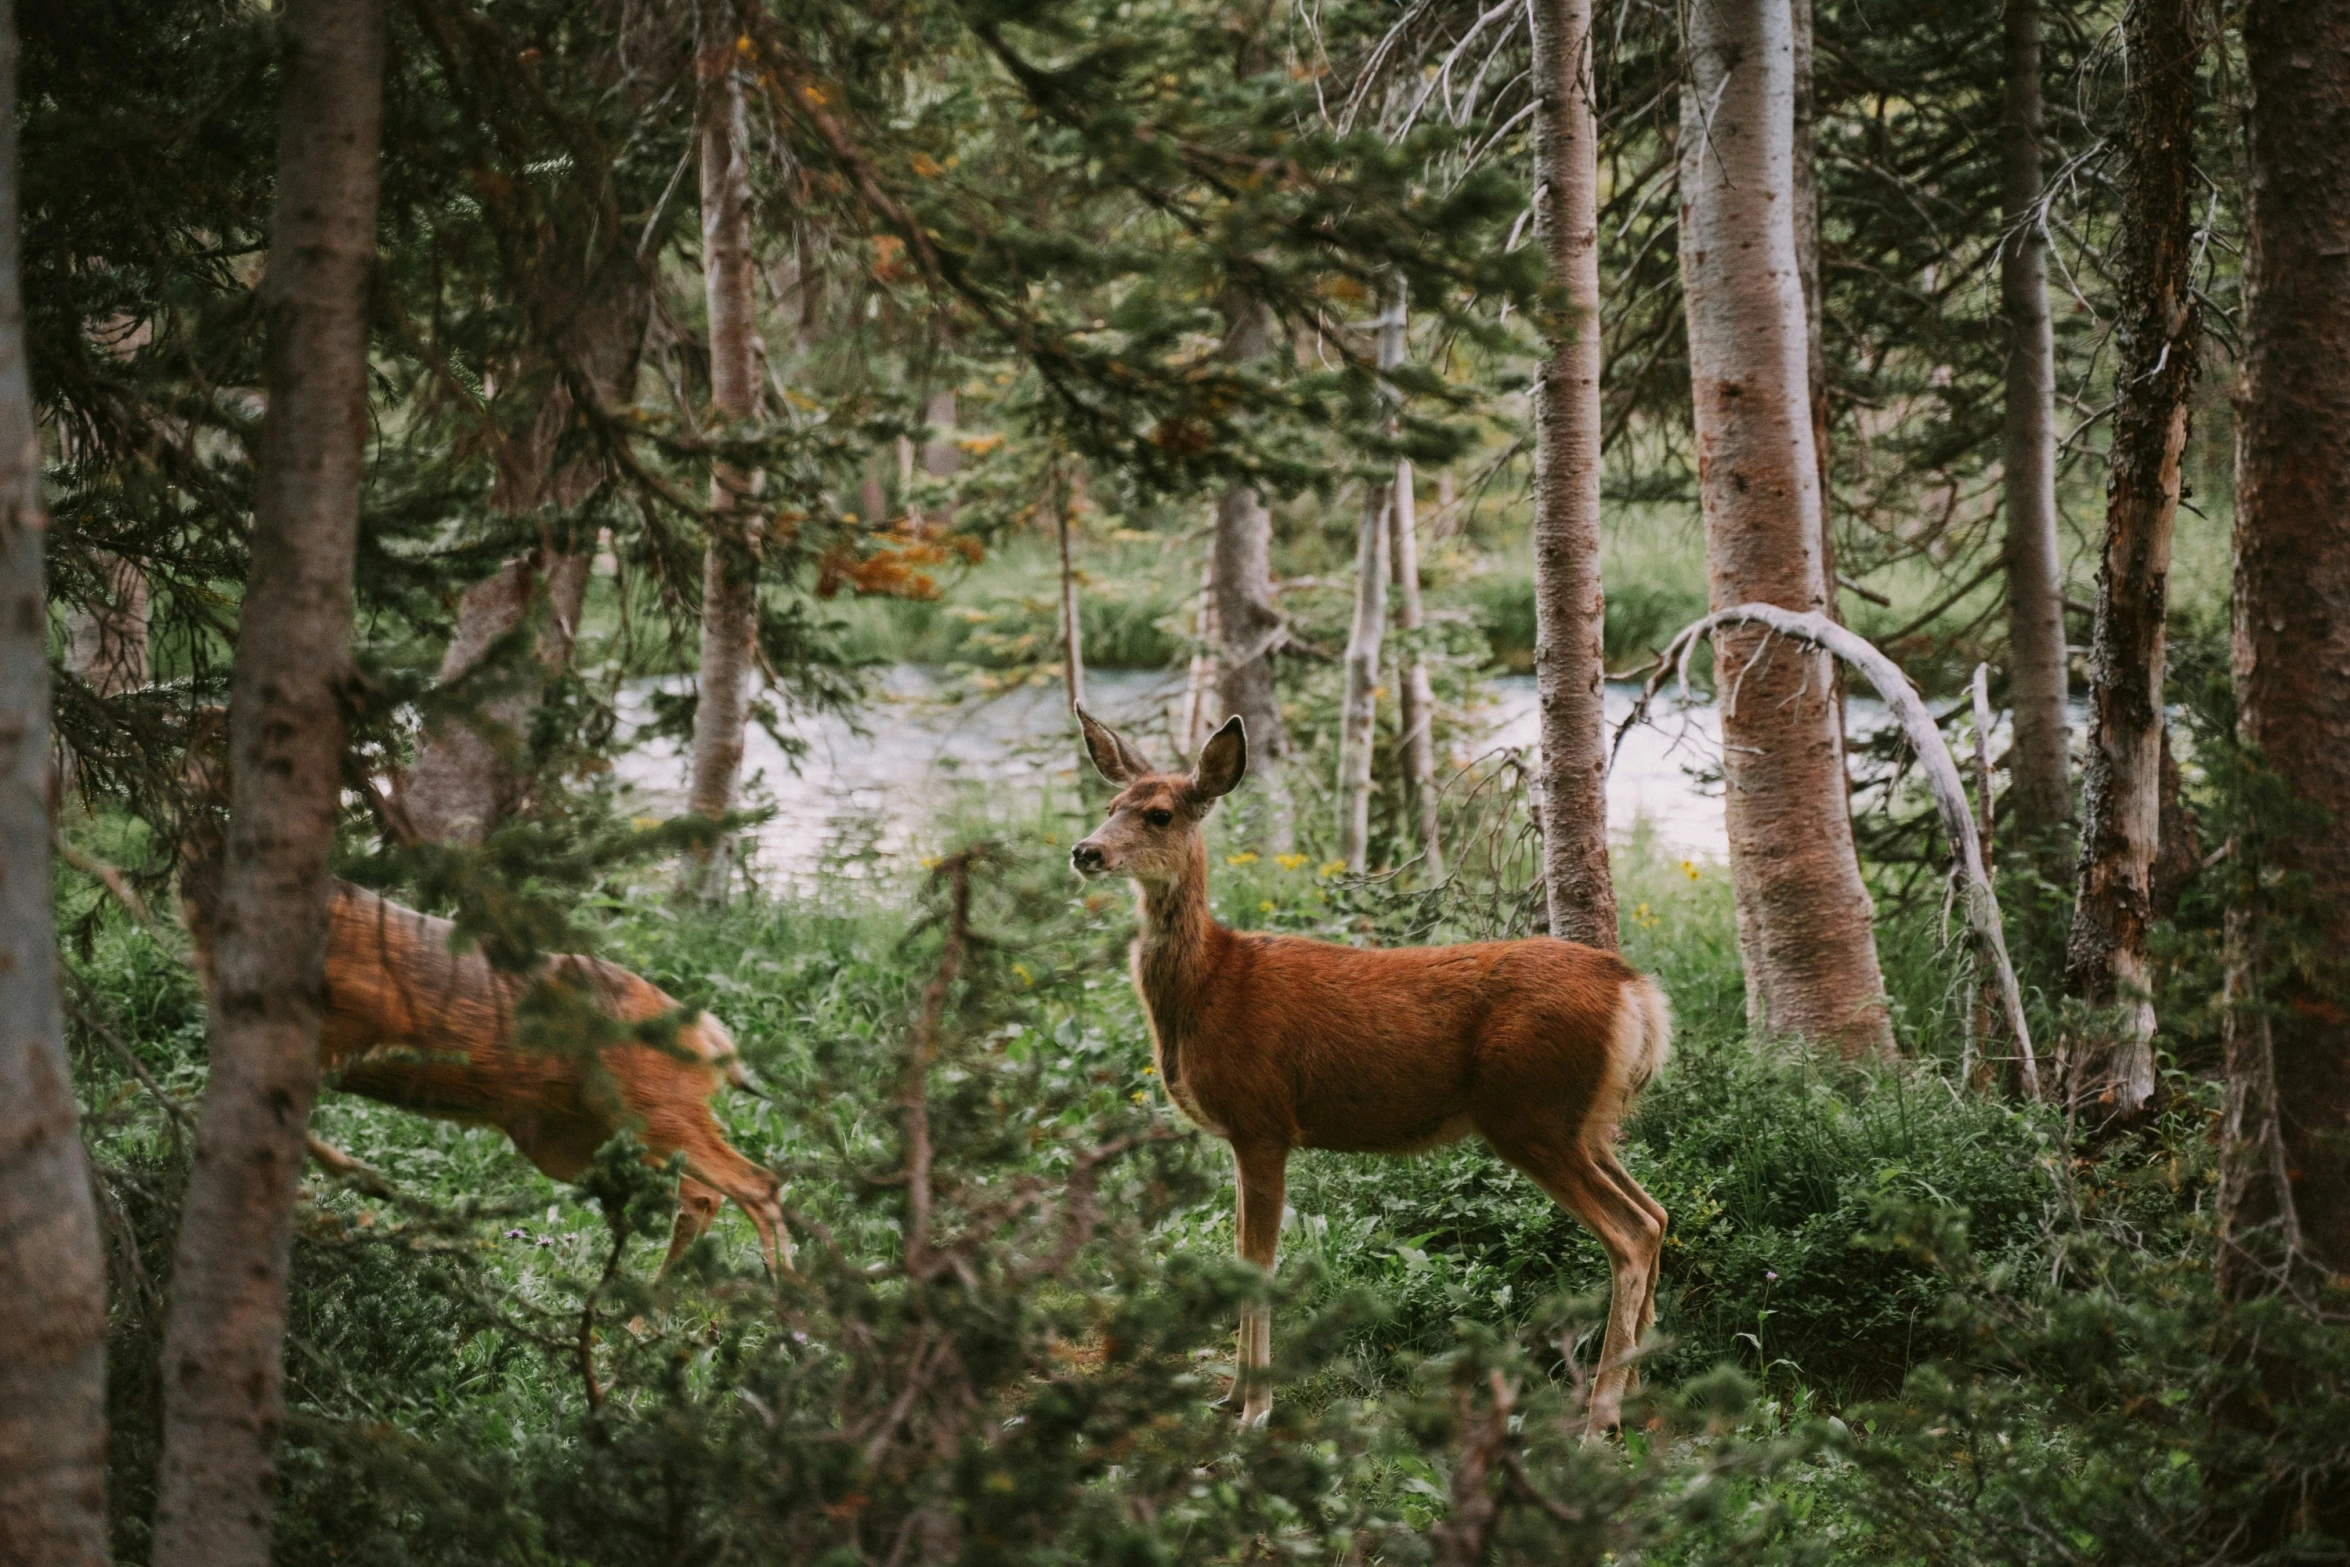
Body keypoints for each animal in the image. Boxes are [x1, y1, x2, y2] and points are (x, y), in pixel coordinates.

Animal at [173, 761, 794, 1287]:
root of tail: (711, 1036)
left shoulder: (348, 1023)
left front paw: (356, 1185)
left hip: (651, 1105)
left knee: (754, 1184)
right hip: (574, 1135)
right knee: (700, 1195)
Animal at [1071, 709, 1673, 1437]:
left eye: (1159, 814)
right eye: (1110, 807)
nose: (1085, 851)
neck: (1209, 985)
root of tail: (1636, 990)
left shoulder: (1262, 1118)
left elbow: (1259, 1261)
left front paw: (1256, 1410)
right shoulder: (1242, 1133)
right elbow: (1240, 1254)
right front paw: (1229, 1395)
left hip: (1529, 1113)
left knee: (1631, 1234)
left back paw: (1597, 1419)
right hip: (1581, 1121)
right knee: (1657, 1213)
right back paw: (1634, 1394)